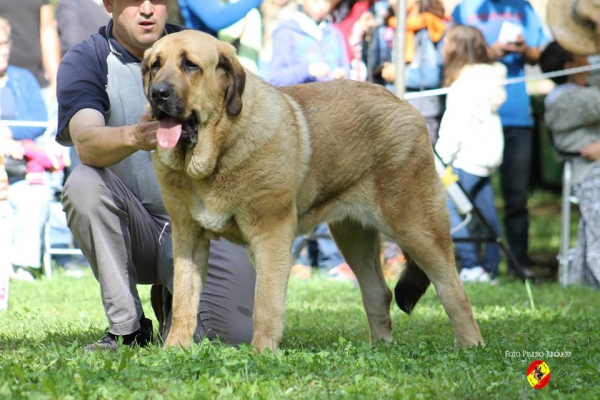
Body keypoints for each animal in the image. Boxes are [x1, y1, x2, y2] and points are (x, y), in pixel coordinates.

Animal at [141, 30, 482, 350]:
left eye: (190, 65)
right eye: (155, 66)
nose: (158, 93)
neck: (219, 149)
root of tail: (404, 104)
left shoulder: (272, 234)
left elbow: (265, 303)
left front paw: (262, 352)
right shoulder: (188, 235)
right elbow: (184, 298)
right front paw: (175, 348)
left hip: (416, 225)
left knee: (453, 289)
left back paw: (471, 345)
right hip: (352, 235)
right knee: (378, 293)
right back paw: (380, 348)